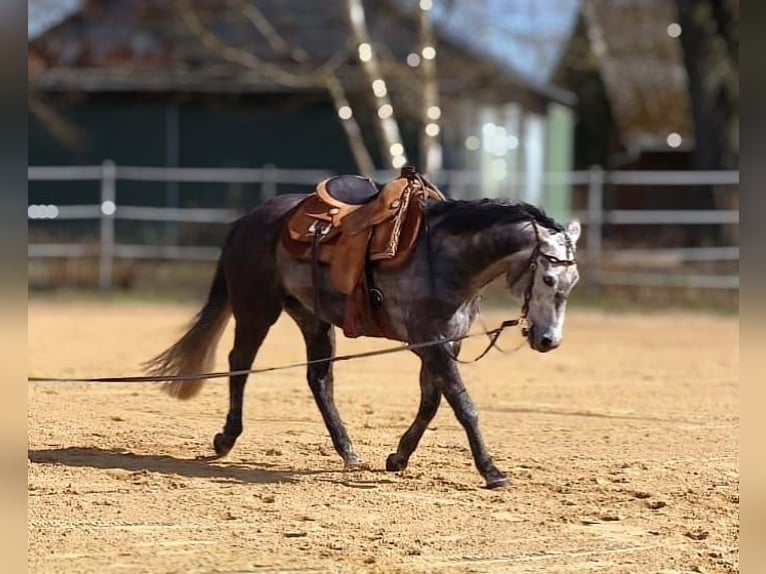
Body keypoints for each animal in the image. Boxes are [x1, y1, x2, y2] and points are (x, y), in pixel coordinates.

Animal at [144, 184, 581, 489]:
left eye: (572, 281)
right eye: (548, 277)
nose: (549, 340)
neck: (444, 259)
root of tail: (248, 220)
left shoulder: (442, 344)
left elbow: (431, 401)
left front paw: (398, 458)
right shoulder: (430, 342)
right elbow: (462, 404)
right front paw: (491, 471)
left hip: (312, 317)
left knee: (318, 379)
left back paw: (347, 450)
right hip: (257, 311)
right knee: (240, 364)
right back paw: (226, 438)